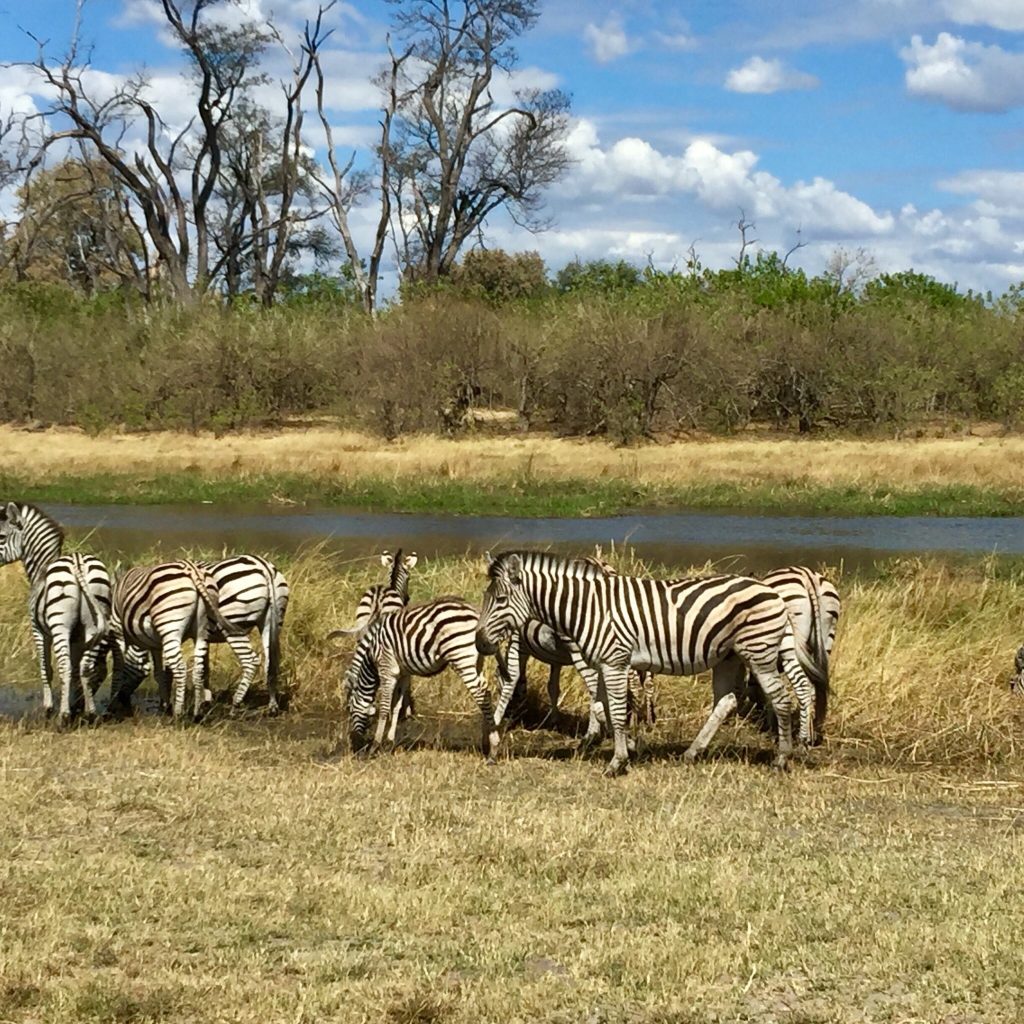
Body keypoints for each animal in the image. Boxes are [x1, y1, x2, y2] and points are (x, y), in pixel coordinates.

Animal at [0, 501, 111, 722]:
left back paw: (63, 716)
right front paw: (77, 704)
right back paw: (90, 713)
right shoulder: (77, 636)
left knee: (64, 666)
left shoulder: (38, 630)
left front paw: (49, 707)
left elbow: (46, 668)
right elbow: (77, 669)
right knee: (86, 666)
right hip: (94, 623)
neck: (42, 568)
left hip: (60, 625)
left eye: (1, 536)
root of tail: (78, 562)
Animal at [108, 554, 290, 715]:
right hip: (273, 622)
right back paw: (272, 706)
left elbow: (167, 671)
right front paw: (205, 700)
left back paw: (235, 705)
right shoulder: (202, 636)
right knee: (271, 663)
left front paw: (167, 704)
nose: (123, 700)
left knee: (250, 661)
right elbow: (204, 668)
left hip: (235, 623)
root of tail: (263, 566)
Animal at [344, 597, 503, 762]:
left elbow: (385, 707)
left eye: (350, 709)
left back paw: (494, 747)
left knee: (480, 693)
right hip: (476, 661)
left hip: (461, 657)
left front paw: (375, 746)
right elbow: (396, 706)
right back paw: (487, 741)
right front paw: (389, 742)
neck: (371, 656)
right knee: (486, 692)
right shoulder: (403, 673)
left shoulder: (386, 669)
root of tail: (476, 612)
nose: (356, 745)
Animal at [476, 551, 825, 775]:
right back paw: (691, 753)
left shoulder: (615, 660)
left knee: (780, 698)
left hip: (759, 652)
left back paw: (783, 758)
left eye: (501, 600)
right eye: (484, 597)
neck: (588, 607)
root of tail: (771, 590)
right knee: (726, 701)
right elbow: (604, 706)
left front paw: (616, 763)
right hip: (729, 656)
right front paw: (627, 747)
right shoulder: (602, 663)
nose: (480, 643)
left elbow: (617, 711)